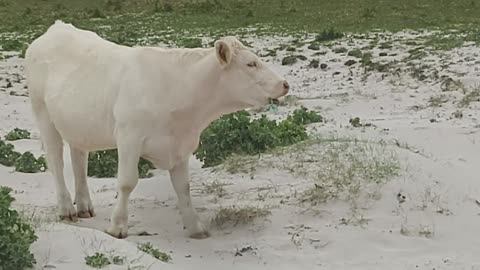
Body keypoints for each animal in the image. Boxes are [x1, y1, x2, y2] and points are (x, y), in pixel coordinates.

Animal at [25, 20, 288, 238]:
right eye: (251, 63)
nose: (284, 84)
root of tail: (56, 28)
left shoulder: (181, 145)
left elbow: (183, 188)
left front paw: (195, 227)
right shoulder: (129, 137)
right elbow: (127, 182)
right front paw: (118, 226)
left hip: (78, 123)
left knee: (79, 160)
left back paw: (84, 206)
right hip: (43, 115)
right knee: (56, 163)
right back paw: (66, 209)